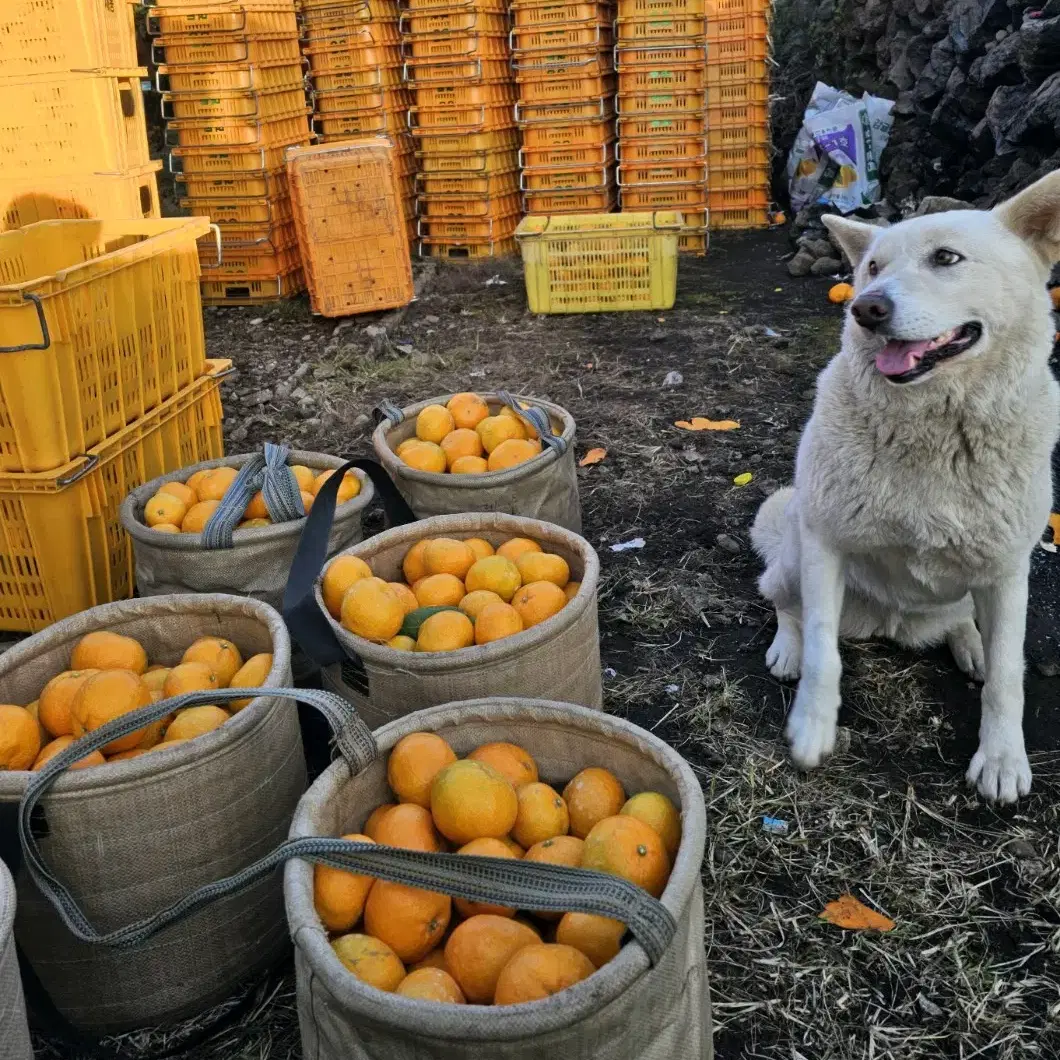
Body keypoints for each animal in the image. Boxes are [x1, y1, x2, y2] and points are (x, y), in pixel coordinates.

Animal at [754, 171, 1060, 801]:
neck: (936, 430)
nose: (866, 308)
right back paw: (786, 646)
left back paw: (970, 645)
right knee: (785, 605)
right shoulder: (825, 545)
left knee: (969, 624)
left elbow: (1008, 676)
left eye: (946, 258)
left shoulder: (1008, 569)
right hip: (794, 553)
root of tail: (896, 624)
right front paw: (812, 727)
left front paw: (1001, 758)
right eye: (872, 266)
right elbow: (823, 650)